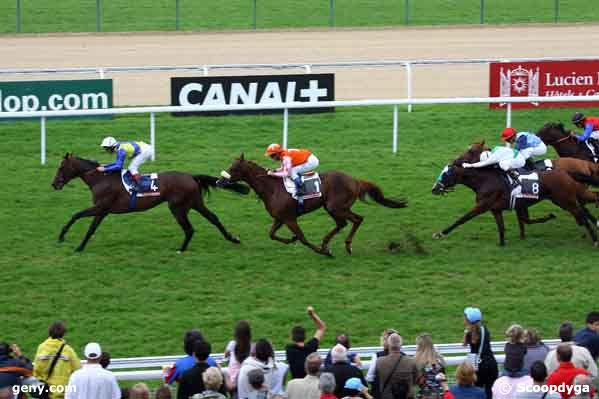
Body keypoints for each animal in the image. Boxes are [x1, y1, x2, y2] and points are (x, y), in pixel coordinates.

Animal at [51, 154, 247, 252]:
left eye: (61, 167)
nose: (54, 184)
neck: (101, 178)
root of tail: (191, 176)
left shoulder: (101, 208)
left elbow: (81, 220)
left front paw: (73, 244)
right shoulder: (102, 210)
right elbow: (84, 223)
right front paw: (69, 241)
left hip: (177, 207)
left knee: (189, 229)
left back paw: (181, 249)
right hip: (195, 203)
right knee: (213, 218)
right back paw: (233, 238)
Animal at [216, 155, 408, 258]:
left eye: (233, 168)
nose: (219, 181)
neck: (272, 188)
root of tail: (355, 180)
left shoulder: (289, 218)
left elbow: (302, 238)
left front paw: (323, 252)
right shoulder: (280, 218)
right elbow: (271, 234)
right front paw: (291, 239)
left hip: (335, 207)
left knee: (355, 220)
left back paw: (340, 245)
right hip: (334, 208)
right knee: (346, 223)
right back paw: (332, 243)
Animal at [432, 144, 599, 247]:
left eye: (445, 174)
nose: (434, 189)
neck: (485, 180)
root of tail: (566, 172)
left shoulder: (482, 206)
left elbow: (463, 218)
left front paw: (440, 233)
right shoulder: (497, 209)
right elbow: (503, 226)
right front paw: (502, 244)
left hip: (566, 200)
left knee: (583, 215)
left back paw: (595, 239)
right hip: (570, 197)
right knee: (588, 205)